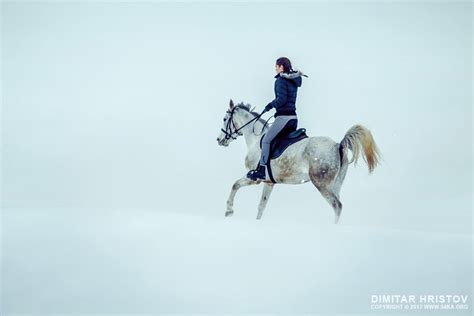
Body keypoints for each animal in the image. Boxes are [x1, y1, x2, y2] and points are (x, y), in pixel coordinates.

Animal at [217, 100, 380, 223]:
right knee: (338, 205)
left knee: (337, 206)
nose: (219, 140)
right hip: (336, 184)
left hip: (321, 184)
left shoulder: (254, 178)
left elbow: (235, 185)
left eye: (224, 119)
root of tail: (338, 145)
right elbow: (261, 206)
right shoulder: (269, 182)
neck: (256, 140)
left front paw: (229, 210)